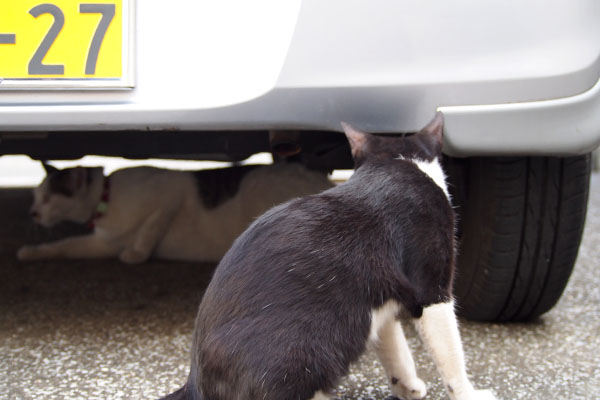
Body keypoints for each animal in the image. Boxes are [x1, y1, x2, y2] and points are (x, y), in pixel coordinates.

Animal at [17, 161, 332, 264]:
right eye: (35, 196)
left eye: (48, 198)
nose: (32, 212)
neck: (106, 199)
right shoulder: (101, 244)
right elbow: (63, 246)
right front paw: (31, 252)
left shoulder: (169, 191)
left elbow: (152, 225)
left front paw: (137, 254)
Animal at [159, 113, 496, 400]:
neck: (394, 164)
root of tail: (195, 382)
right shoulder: (432, 288)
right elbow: (449, 351)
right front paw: (467, 393)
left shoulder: (380, 302)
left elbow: (394, 346)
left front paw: (407, 386)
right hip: (312, 345)